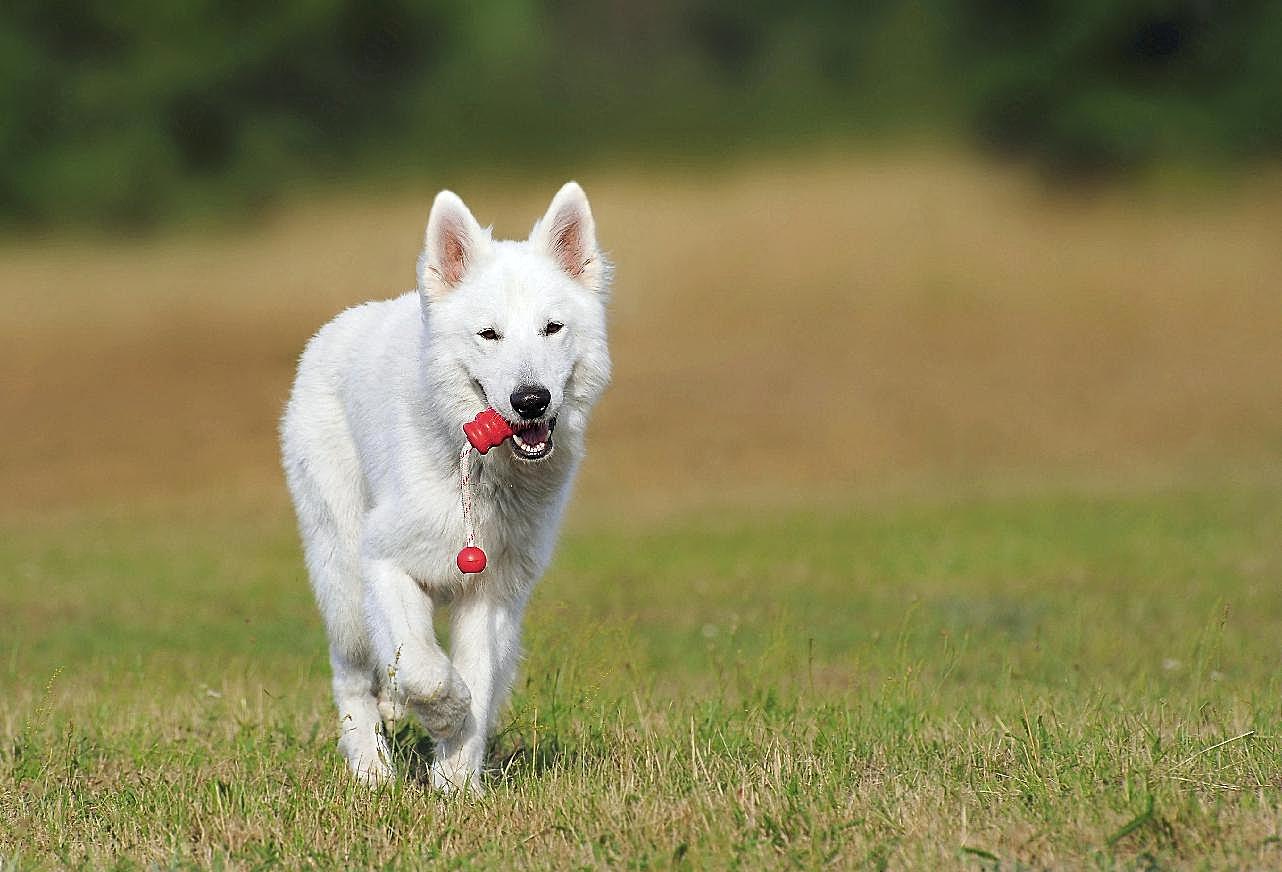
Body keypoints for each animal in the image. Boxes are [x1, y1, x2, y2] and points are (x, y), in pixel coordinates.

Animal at [283, 182, 612, 789]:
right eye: (489, 335)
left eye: (552, 328)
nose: (530, 401)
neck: (478, 473)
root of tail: (335, 328)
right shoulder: (384, 563)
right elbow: (425, 670)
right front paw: (444, 715)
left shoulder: (493, 594)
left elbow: (476, 677)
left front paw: (456, 781)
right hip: (341, 577)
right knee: (352, 674)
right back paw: (371, 770)